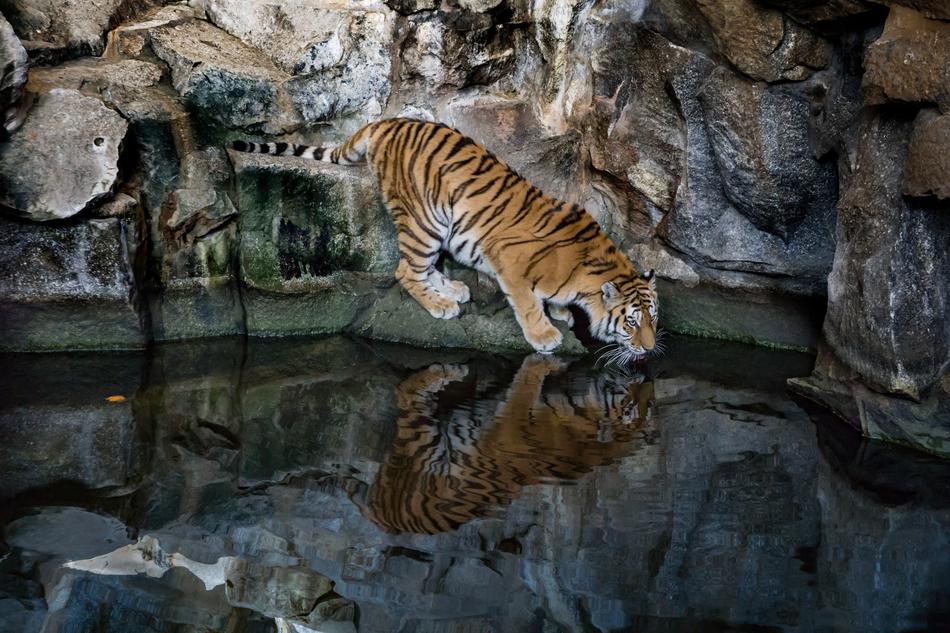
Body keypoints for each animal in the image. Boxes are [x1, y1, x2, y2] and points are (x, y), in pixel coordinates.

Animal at [231, 118, 659, 357]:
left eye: (653, 319)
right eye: (632, 322)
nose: (651, 348)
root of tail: (386, 121)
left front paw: (562, 313)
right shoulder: (509, 261)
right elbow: (527, 303)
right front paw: (545, 335)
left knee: (422, 267)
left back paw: (452, 288)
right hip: (425, 220)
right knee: (406, 270)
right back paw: (441, 305)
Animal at [348, 354, 655, 535]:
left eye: (649, 403)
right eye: (630, 404)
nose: (645, 375)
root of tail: (383, 518)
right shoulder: (514, 418)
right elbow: (526, 383)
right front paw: (546, 359)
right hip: (423, 445)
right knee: (405, 392)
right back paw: (450, 369)